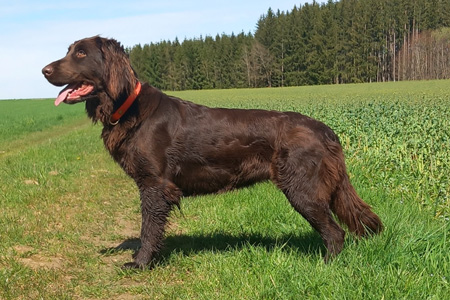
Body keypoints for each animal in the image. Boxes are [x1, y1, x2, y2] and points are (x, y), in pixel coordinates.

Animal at [42, 35, 382, 270]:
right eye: (70, 50)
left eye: (81, 53)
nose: (44, 70)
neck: (130, 106)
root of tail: (326, 130)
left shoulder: (154, 185)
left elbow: (148, 228)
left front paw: (140, 263)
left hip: (304, 190)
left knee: (335, 233)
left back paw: (325, 267)